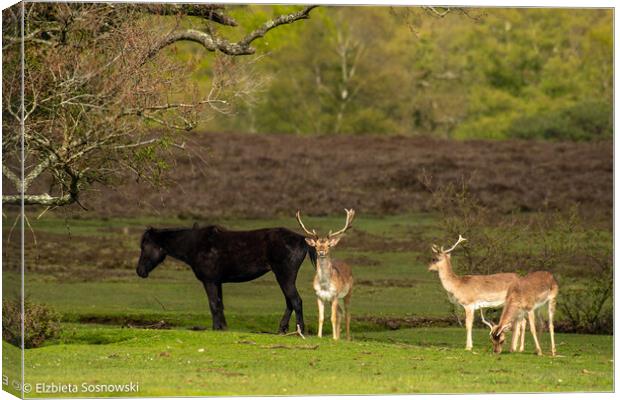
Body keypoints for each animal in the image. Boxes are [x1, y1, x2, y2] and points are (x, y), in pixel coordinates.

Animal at [136, 223, 314, 332]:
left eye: (144, 246)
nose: (139, 271)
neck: (195, 244)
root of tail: (301, 239)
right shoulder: (217, 282)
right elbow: (220, 304)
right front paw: (223, 327)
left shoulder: (209, 281)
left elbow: (213, 304)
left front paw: (216, 328)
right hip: (284, 278)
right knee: (290, 302)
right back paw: (282, 329)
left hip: (285, 277)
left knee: (296, 301)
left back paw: (299, 330)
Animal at [296, 209, 354, 340]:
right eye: (316, 245)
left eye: (328, 245)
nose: (321, 251)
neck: (324, 285)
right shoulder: (319, 296)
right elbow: (321, 318)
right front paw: (320, 336)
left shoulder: (335, 295)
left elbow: (332, 318)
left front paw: (333, 338)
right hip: (338, 299)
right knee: (340, 313)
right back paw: (339, 337)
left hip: (348, 294)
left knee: (347, 314)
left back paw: (347, 338)